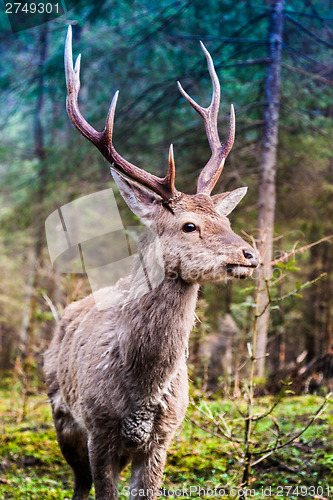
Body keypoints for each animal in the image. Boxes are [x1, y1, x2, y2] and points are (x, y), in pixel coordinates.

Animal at [42, 26, 258, 500]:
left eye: (226, 219)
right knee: (78, 484)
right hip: (60, 413)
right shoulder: (98, 432)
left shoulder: (163, 437)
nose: (250, 254)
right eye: (189, 225)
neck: (141, 392)